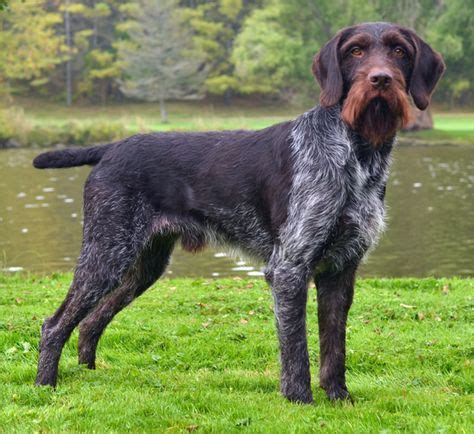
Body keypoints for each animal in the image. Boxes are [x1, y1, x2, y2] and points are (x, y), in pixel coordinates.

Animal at [33, 22, 444, 404]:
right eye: (355, 51)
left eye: (399, 51)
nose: (381, 79)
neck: (357, 154)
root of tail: (111, 148)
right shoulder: (289, 267)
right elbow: (296, 348)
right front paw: (300, 399)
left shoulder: (341, 270)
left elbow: (334, 347)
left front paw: (339, 397)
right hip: (106, 254)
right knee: (54, 324)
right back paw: (45, 384)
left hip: (143, 265)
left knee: (90, 322)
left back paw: (88, 372)